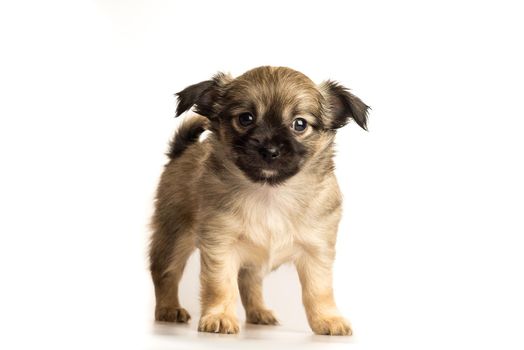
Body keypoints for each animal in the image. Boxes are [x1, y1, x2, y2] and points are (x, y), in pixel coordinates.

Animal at [147, 66, 368, 336]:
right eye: (246, 118)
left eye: (300, 124)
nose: (270, 149)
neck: (269, 192)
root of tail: (182, 151)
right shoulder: (220, 245)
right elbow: (220, 284)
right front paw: (220, 315)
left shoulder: (316, 251)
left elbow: (319, 290)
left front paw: (327, 319)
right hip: (174, 235)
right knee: (165, 273)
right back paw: (168, 309)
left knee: (249, 282)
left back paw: (258, 312)